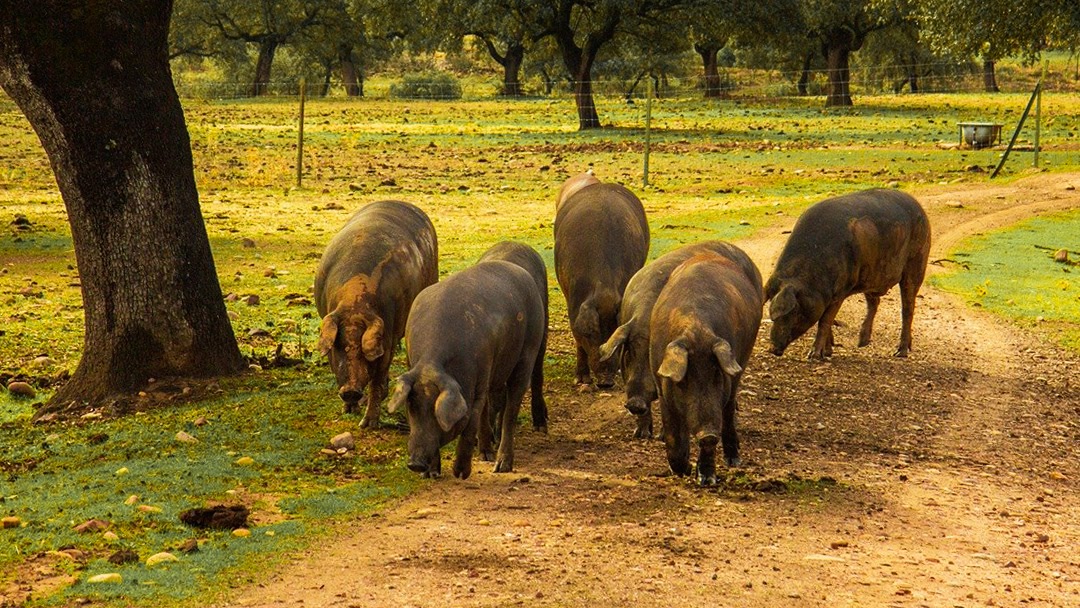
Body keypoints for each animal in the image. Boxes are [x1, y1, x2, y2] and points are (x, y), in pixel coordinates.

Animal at [314, 200, 438, 428]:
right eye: (339, 347)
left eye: (363, 349)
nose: (351, 390)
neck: (355, 303)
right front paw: (348, 411)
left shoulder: (387, 338)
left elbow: (377, 381)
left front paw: (367, 425)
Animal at [388, 260, 545, 479]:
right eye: (412, 406)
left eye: (435, 411)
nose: (415, 464)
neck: (432, 361)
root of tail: (521, 271)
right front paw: (431, 475)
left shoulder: (480, 375)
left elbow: (471, 422)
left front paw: (460, 473)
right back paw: (486, 455)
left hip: (530, 347)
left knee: (511, 407)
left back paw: (501, 466)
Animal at [554, 182, 649, 388]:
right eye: (591, 332)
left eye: (615, 330)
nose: (606, 381)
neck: (604, 288)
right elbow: (578, 340)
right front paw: (581, 380)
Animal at [650, 251, 763, 486]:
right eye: (684, 380)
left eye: (717, 374)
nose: (708, 433)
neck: (697, 329)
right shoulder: (661, 387)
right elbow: (674, 437)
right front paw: (683, 470)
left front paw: (706, 480)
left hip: (743, 359)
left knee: (728, 411)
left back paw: (734, 461)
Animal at [764, 189, 931, 360]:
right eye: (772, 313)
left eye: (794, 311)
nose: (772, 349)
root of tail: (918, 206)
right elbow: (826, 321)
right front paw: (827, 353)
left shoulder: (840, 291)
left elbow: (824, 321)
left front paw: (814, 356)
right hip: (870, 276)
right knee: (874, 302)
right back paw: (861, 343)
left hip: (916, 262)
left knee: (908, 308)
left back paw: (899, 353)